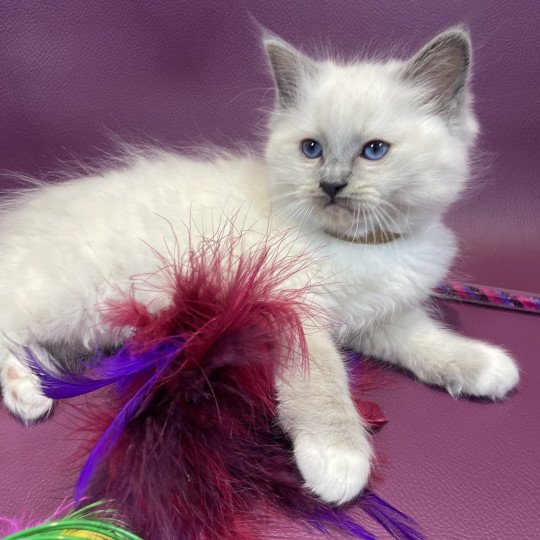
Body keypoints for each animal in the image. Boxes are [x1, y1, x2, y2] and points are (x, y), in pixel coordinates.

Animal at [0, 25, 520, 506]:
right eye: (311, 149)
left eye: (374, 151)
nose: (331, 186)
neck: (360, 246)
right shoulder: (293, 312)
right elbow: (323, 383)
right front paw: (338, 460)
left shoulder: (379, 317)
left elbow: (429, 344)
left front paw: (485, 368)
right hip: (71, 301)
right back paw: (29, 398)